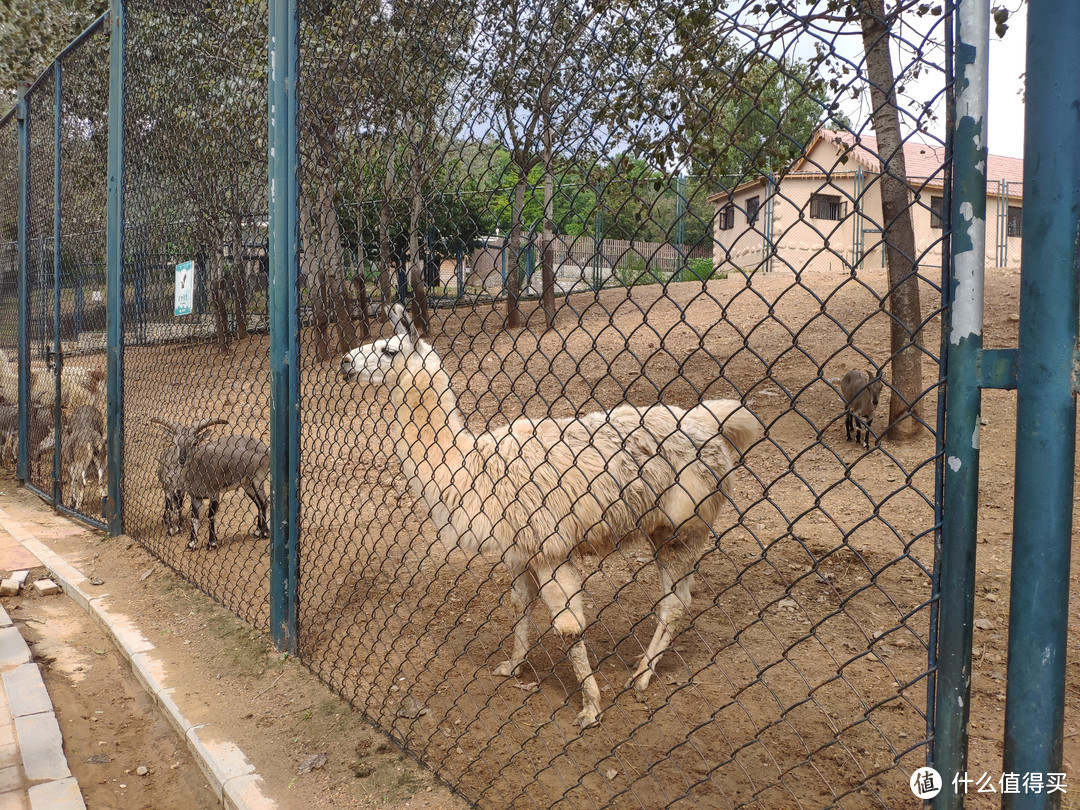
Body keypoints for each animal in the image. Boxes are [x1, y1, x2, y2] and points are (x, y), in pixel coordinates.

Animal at [151, 419, 268, 552]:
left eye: (194, 443)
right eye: (176, 443)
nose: (182, 460)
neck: (199, 470)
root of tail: (264, 447)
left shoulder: (214, 493)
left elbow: (211, 516)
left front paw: (211, 543)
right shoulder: (195, 496)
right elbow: (194, 517)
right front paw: (191, 544)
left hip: (258, 478)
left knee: (264, 502)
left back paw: (264, 533)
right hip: (247, 484)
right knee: (258, 503)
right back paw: (258, 530)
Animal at [336, 306, 760, 734]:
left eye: (388, 350)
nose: (344, 363)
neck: (470, 466)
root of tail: (708, 422)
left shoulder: (549, 548)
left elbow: (569, 627)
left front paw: (590, 706)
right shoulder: (519, 548)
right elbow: (518, 605)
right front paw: (512, 665)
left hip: (685, 526)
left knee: (674, 604)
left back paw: (641, 677)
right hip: (664, 529)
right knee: (679, 599)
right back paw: (642, 666)